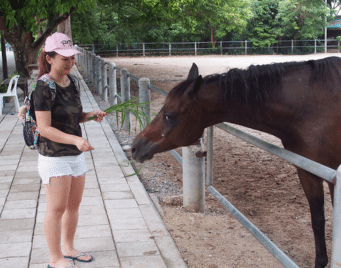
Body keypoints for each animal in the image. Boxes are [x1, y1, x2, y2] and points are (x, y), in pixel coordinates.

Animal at [132, 56, 340, 268]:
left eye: (169, 115)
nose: (135, 147)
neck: (309, 105)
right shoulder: (308, 171)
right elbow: (317, 219)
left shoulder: (332, 176)